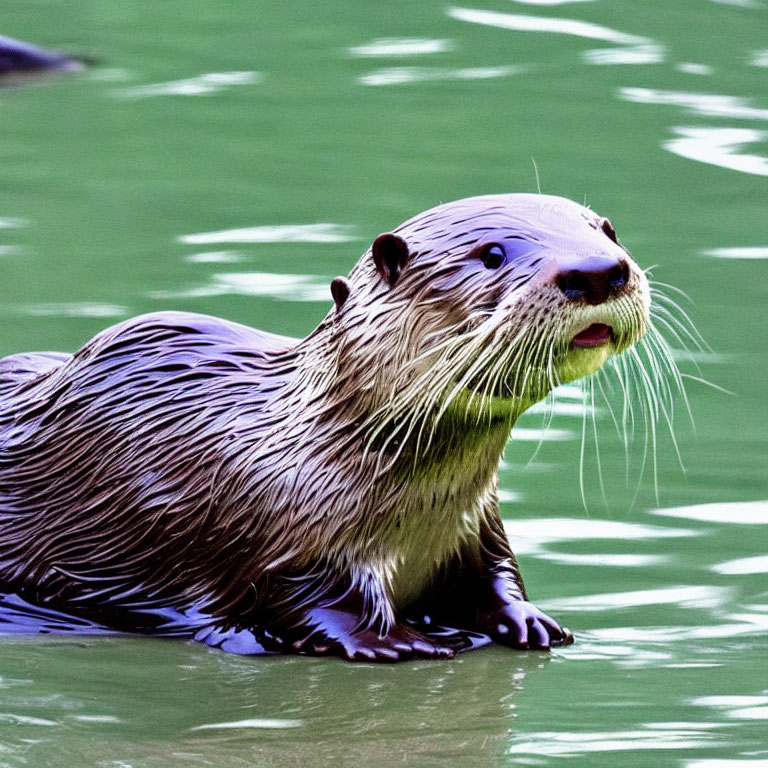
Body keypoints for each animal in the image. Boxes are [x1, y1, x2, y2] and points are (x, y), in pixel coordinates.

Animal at [0, 194, 648, 660]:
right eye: (491, 253)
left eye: (608, 231)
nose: (598, 272)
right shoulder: (274, 525)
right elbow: (297, 592)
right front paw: (389, 640)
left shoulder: (478, 524)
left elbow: (495, 578)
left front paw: (528, 619)